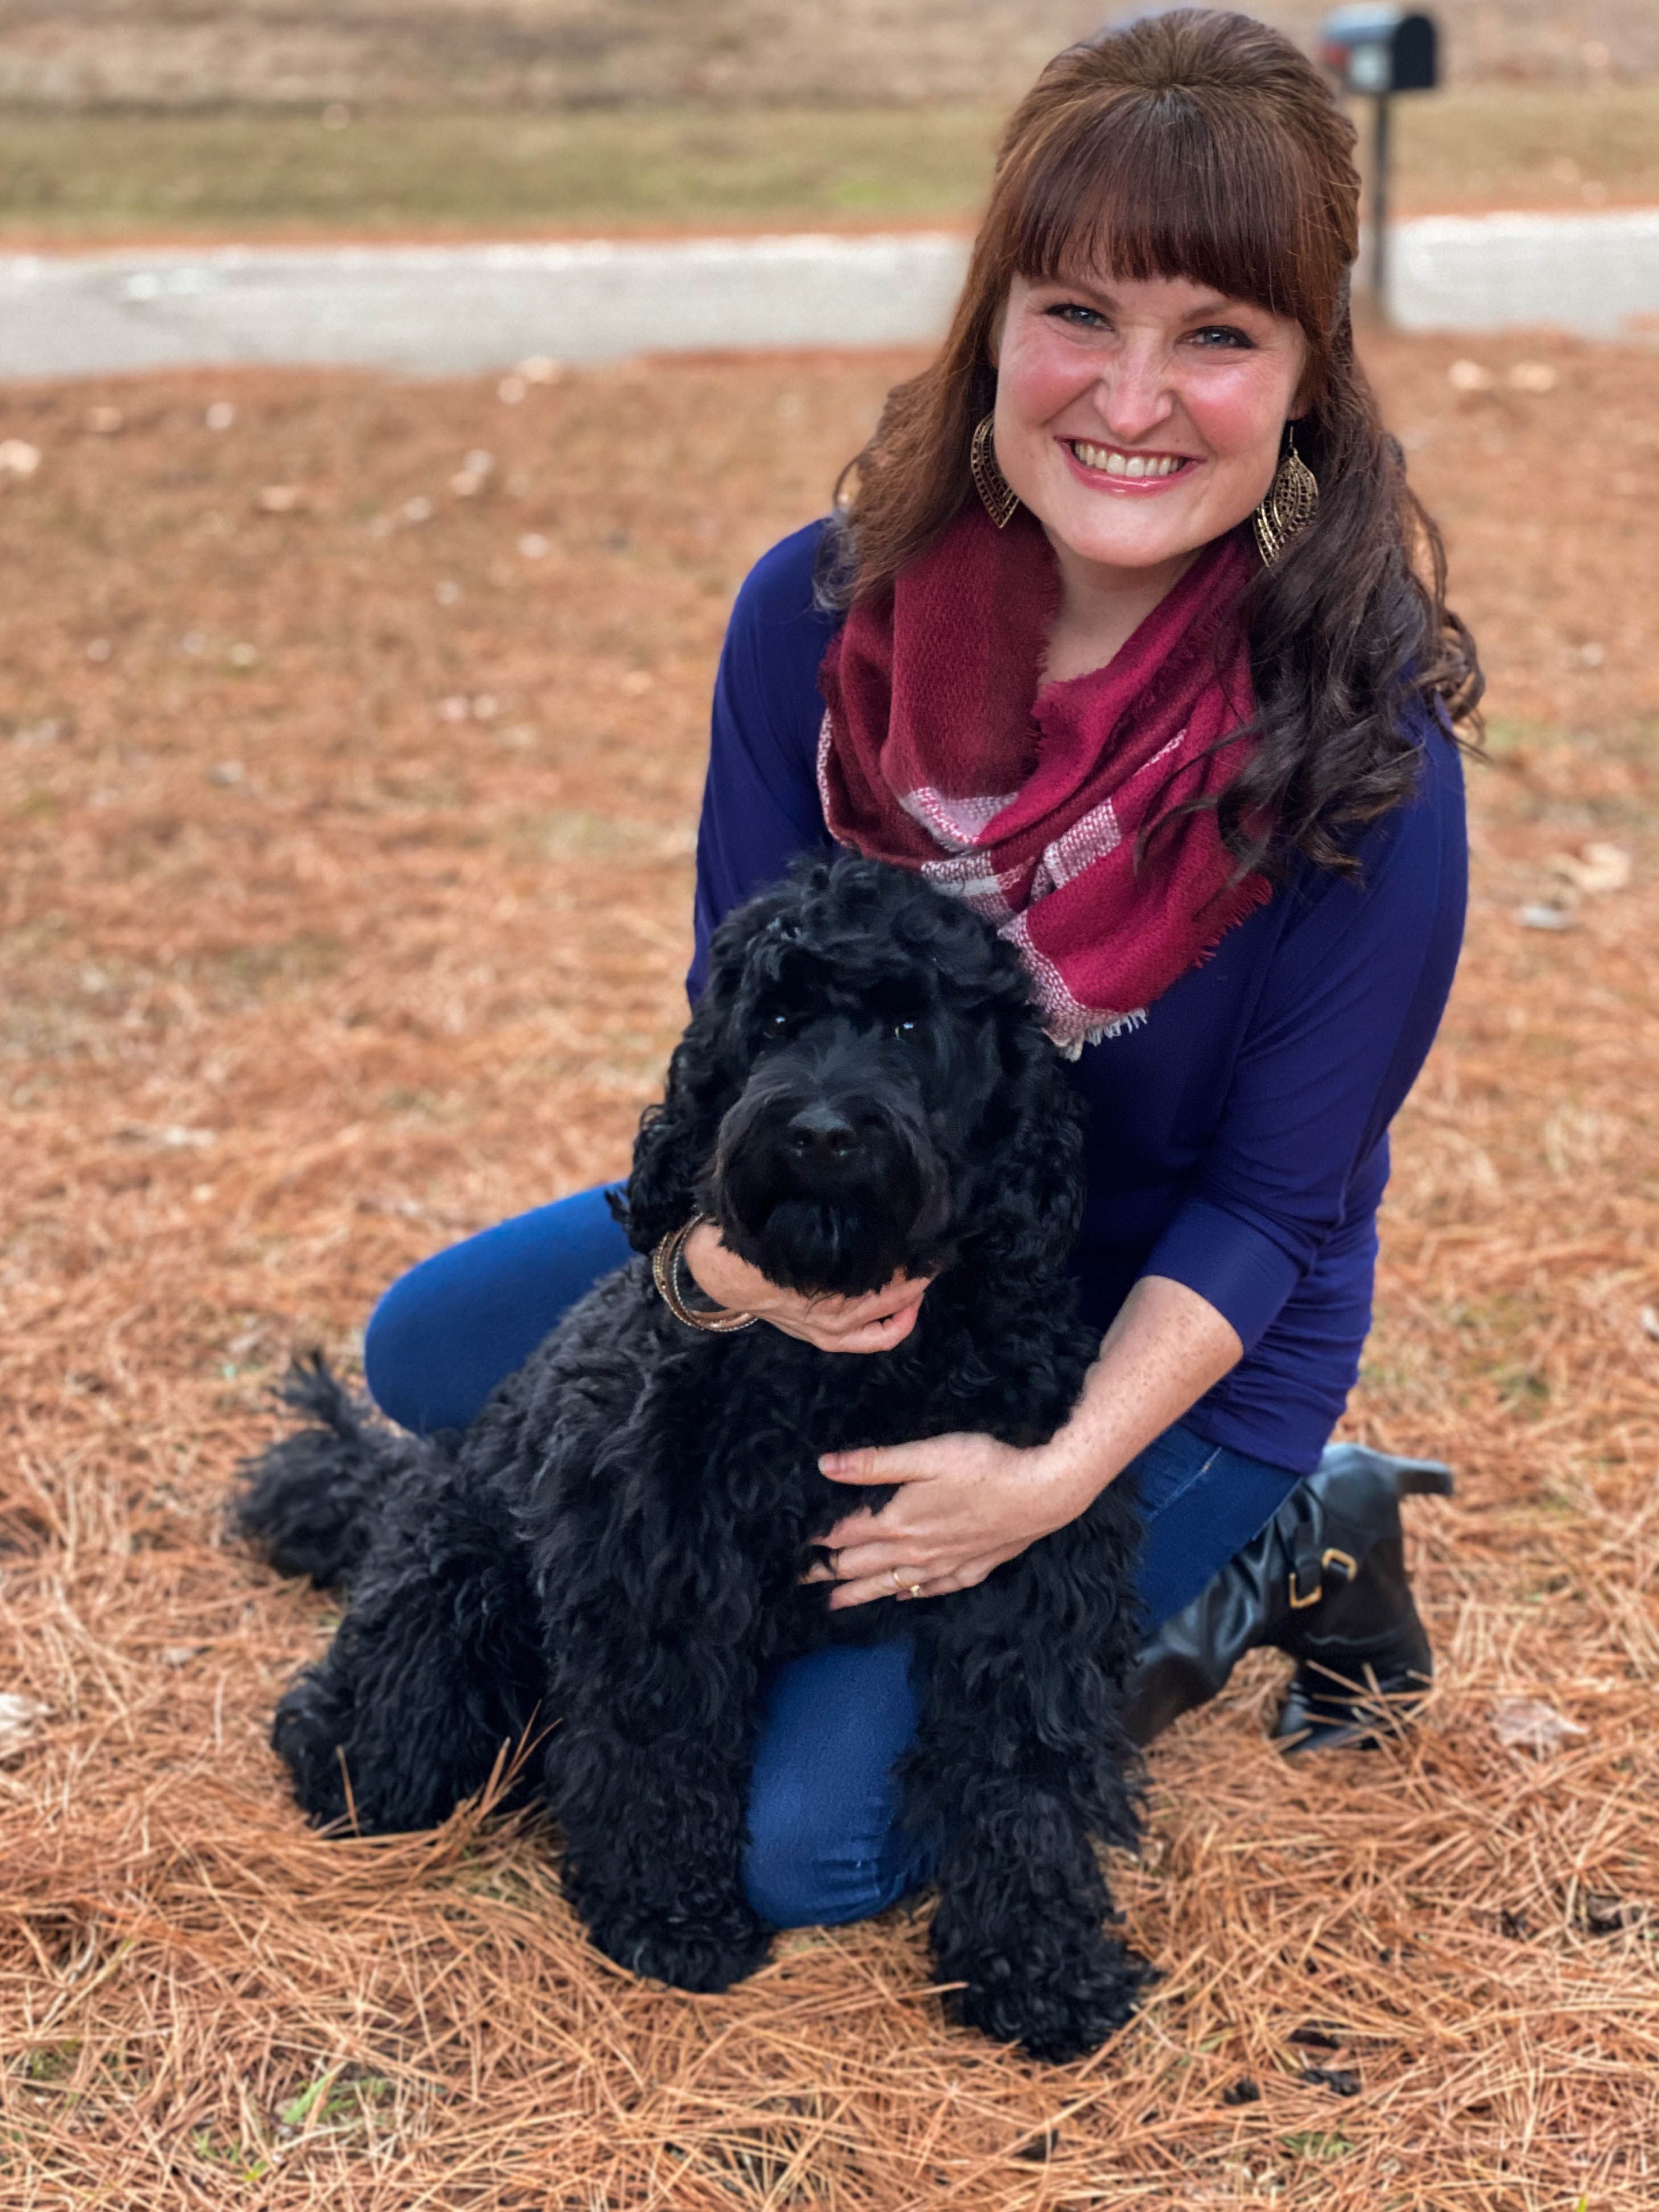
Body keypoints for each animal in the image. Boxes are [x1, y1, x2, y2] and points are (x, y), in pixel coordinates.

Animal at [237, 855, 1151, 2062]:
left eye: (911, 1024)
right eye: (775, 1020)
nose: (819, 1132)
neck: (843, 1371)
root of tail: (424, 1469)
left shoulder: (1023, 1563)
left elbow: (1022, 1772)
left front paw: (1038, 1967)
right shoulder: (652, 1563)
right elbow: (658, 1741)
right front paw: (667, 1918)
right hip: (448, 1613)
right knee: (352, 1737)